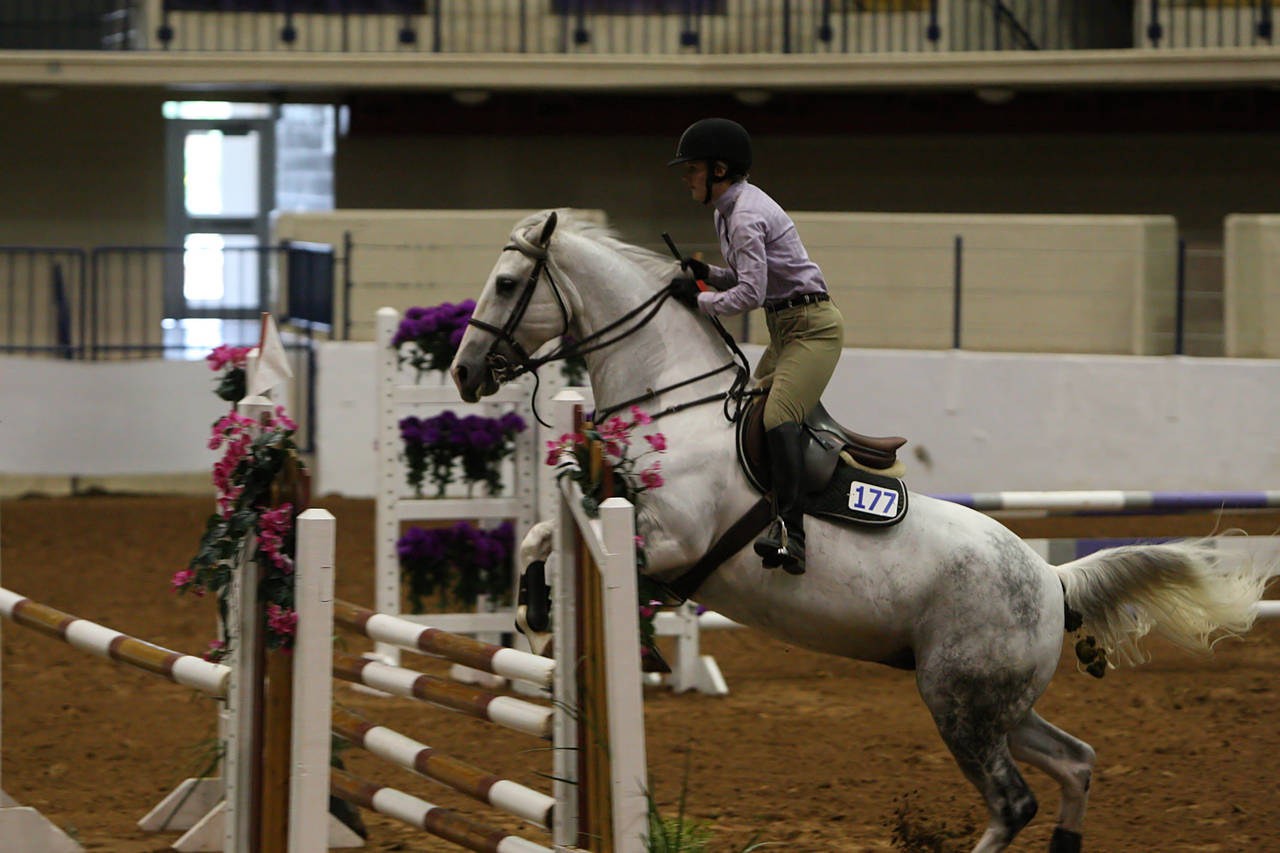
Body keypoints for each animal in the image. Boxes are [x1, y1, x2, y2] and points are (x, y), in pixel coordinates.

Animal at [450, 207, 1269, 850]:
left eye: (505, 284)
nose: (462, 373)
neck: (673, 402)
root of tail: (1051, 578)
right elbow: (539, 539)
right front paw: (534, 619)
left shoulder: (672, 542)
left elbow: (583, 556)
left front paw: (559, 626)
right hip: (998, 704)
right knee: (1076, 761)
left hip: (961, 703)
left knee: (1015, 801)